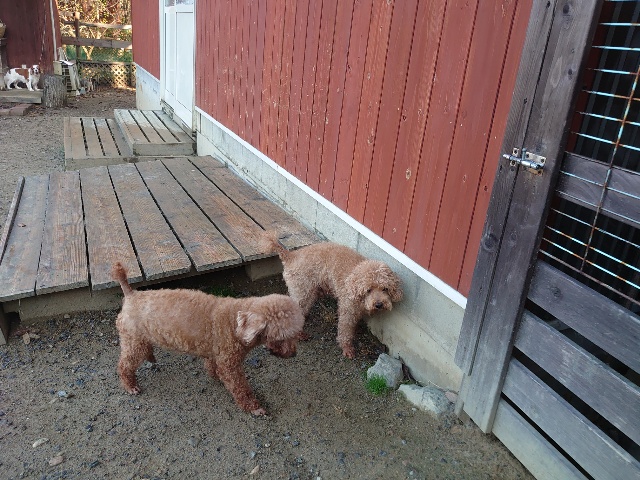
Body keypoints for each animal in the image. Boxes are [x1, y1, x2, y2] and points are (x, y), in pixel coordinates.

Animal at [111, 262, 305, 416]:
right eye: (282, 337)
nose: (294, 354)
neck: (235, 324)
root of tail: (131, 294)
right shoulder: (229, 364)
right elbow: (241, 388)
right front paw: (254, 407)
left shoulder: (215, 353)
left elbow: (213, 367)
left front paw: (215, 376)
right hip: (134, 341)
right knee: (124, 365)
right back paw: (130, 386)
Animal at [262, 233, 403, 359]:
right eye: (368, 290)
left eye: (385, 289)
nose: (379, 304)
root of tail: (291, 256)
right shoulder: (347, 310)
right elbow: (345, 331)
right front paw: (347, 349)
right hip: (302, 291)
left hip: (310, 292)